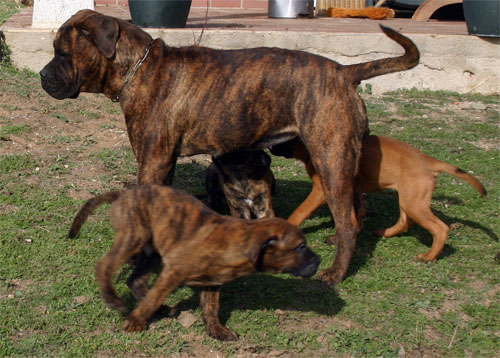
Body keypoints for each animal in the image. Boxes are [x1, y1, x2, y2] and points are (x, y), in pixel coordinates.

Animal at [41, 9, 420, 286]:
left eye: (62, 54)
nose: (43, 75)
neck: (138, 68)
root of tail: (344, 71)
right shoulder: (164, 163)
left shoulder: (152, 163)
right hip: (339, 159)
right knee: (355, 209)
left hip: (331, 158)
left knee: (347, 219)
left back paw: (336, 273)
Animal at [68, 185, 320, 342]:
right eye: (301, 247)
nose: (319, 260)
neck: (238, 242)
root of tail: (124, 193)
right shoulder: (173, 273)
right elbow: (155, 296)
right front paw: (136, 321)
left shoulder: (211, 283)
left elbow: (211, 308)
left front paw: (217, 330)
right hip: (134, 237)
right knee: (105, 267)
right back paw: (115, 300)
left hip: (152, 251)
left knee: (136, 281)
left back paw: (162, 308)